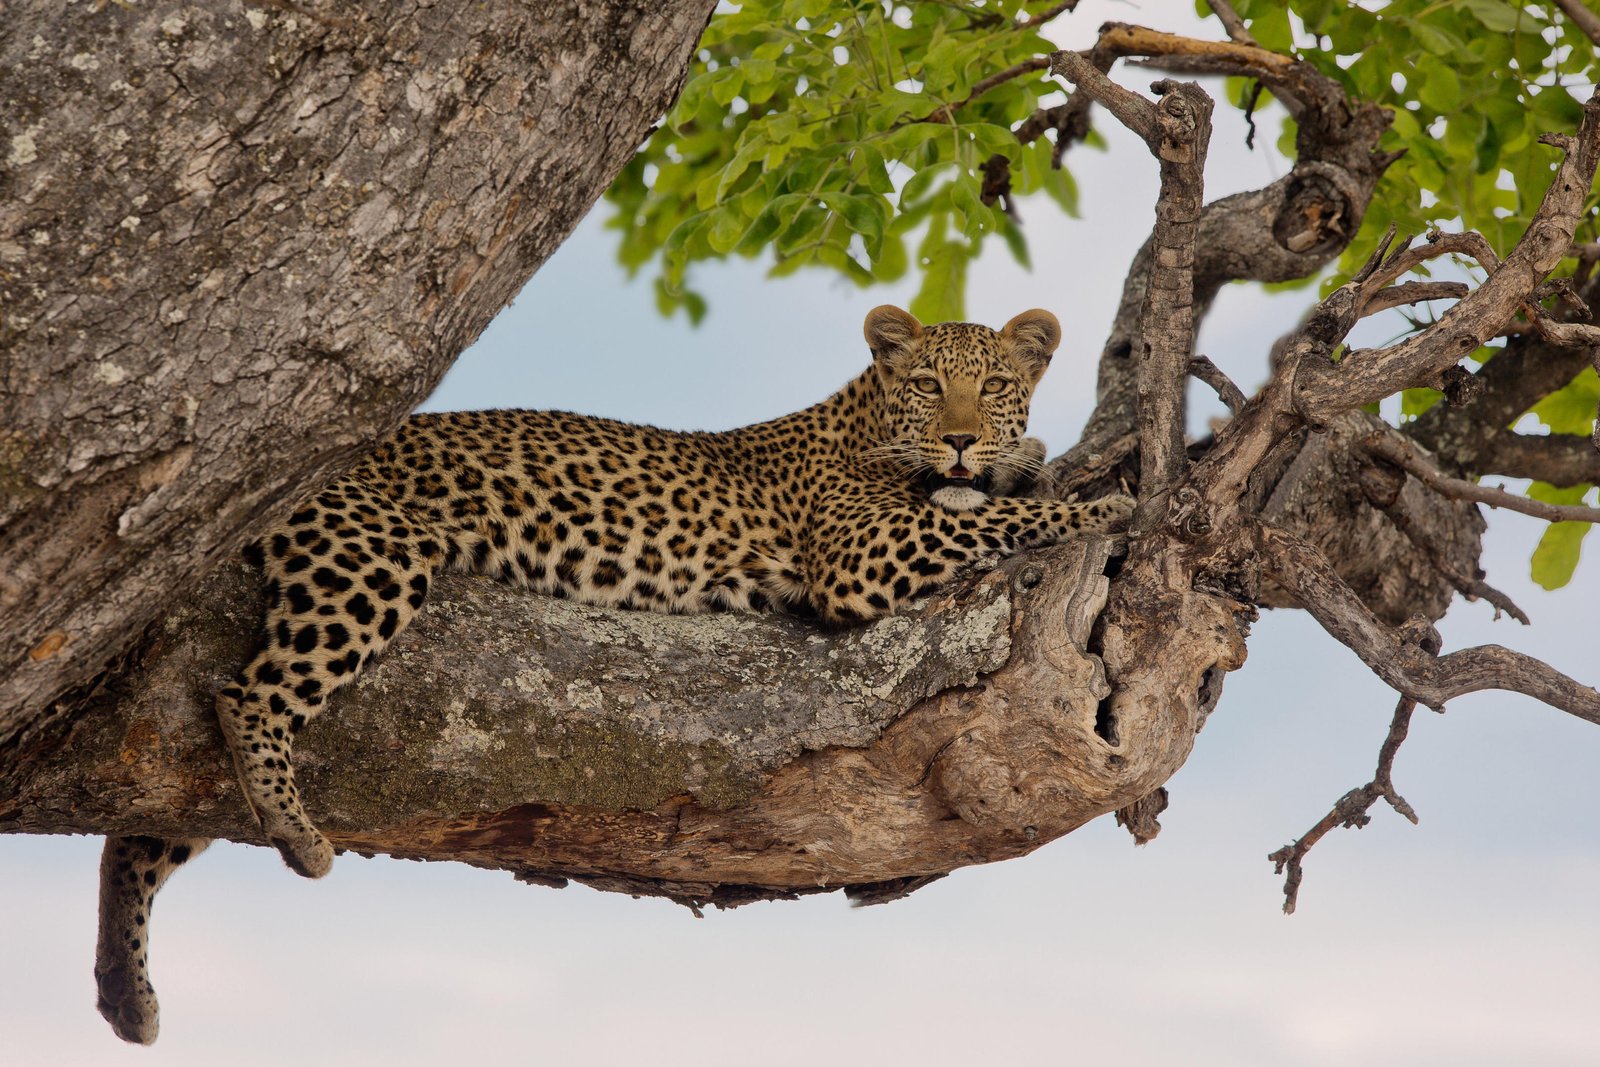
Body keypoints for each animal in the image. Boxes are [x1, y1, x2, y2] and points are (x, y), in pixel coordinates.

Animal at [94, 305, 1134, 1043]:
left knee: (152, 817)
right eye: (925, 383)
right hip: (373, 551)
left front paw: (1026, 457)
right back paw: (294, 831)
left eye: (993, 384)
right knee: (246, 698)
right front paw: (1106, 503)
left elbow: (991, 497)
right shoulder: (861, 554)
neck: (864, 422)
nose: (960, 438)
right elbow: (999, 518)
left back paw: (122, 988)